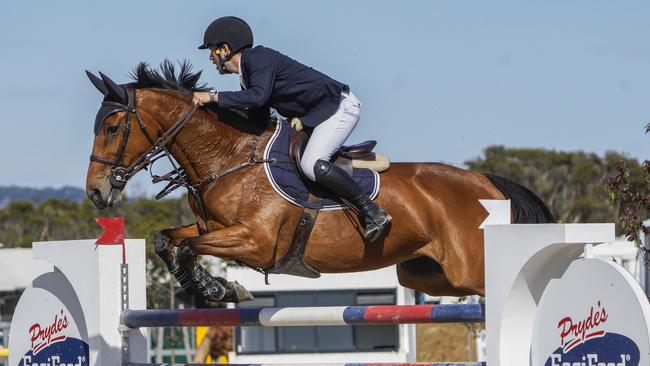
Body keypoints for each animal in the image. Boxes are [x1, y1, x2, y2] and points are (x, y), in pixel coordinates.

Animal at [85, 61, 552, 304]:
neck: (230, 159)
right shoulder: (212, 229)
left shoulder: (256, 242)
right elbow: (169, 241)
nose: (95, 192)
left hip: (470, 268)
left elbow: (187, 248)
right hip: (427, 275)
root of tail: (486, 182)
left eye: (111, 127)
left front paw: (217, 286)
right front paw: (214, 286)